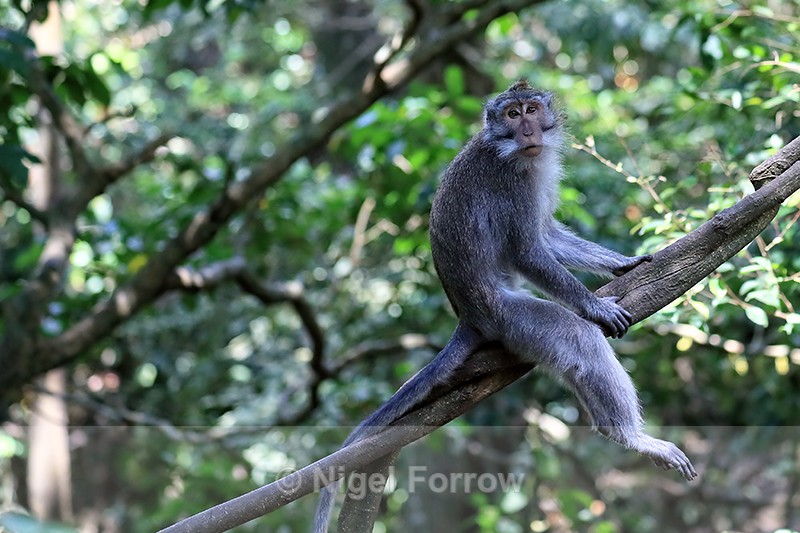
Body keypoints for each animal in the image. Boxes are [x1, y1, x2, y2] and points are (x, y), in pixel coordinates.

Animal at [314, 80, 696, 533]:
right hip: (512, 317)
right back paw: (627, 435)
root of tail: (469, 316)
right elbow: (529, 251)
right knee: (579, 340)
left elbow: (547, 236)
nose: (528, 130)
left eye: (531, 109)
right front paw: (593, 305)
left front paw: (623, 262)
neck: (508, 152)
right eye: (512, 114)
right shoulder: (512, 184)